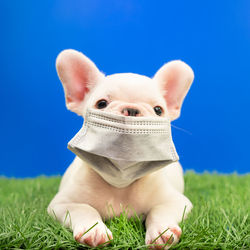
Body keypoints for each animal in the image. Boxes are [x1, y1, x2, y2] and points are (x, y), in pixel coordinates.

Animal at [47, 48, 194, 248]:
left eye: (158, 110)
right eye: (101, 104)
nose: (131, 110)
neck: (121, 184)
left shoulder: (177, 202)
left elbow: (159, 210)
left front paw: (162, 231)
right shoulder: (61, 204)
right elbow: (84, 209)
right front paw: (93, 230)